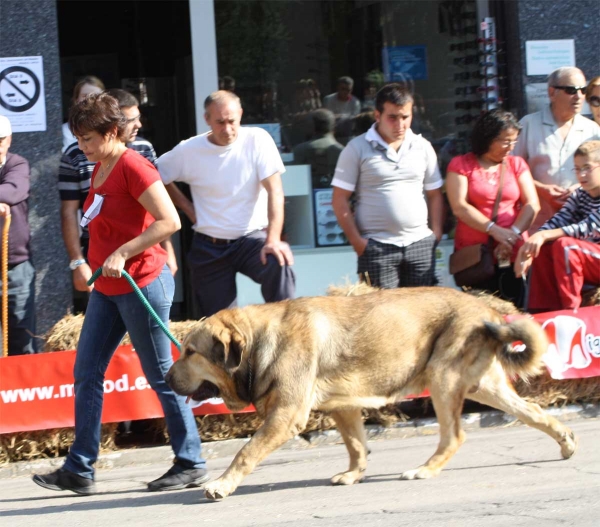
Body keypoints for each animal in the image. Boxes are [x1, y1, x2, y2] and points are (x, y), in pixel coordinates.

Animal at [164, 286, 576, 502]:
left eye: (190, 352)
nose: (165, 376)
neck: (258, 342)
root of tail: (487, 308)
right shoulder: (343, 407)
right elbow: (357, 446)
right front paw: (353, 475)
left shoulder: (286, 415)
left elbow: (246, 452)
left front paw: (222, 485)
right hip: (488, 388)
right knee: (535, 412)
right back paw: (567, 442)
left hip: (443, 381)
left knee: (455, 436)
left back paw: (425, 470)